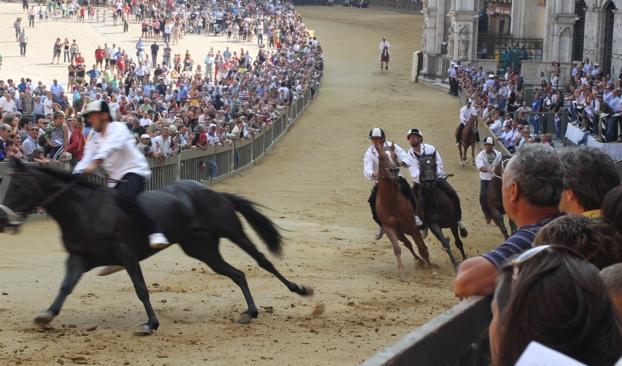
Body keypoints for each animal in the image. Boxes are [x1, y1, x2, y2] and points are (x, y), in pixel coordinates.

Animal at [0, 160, 312, 334]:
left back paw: (299, 289)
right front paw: (46, 315)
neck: (85, 210)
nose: (4, 217)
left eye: (17, 184)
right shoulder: (78, 257)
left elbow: (141, 288)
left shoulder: (126, 253)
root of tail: (214, 192)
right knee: (238, 274)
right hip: (202, 249)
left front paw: (150, 324)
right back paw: (250, 312)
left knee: (261, 260)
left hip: (231, 230)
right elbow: (65, 287)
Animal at [378, 143, 432, 280]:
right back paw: (420, 261)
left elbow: (421, 247)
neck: (391, 202)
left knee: (420, 245)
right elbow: (397, 248)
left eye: (395, 156)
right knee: (408, 244)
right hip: (400, 233)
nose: (394, 170)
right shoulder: (390, 228)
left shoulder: (413, 227)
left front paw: (431, 269)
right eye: (381, 157)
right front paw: (402, 272)